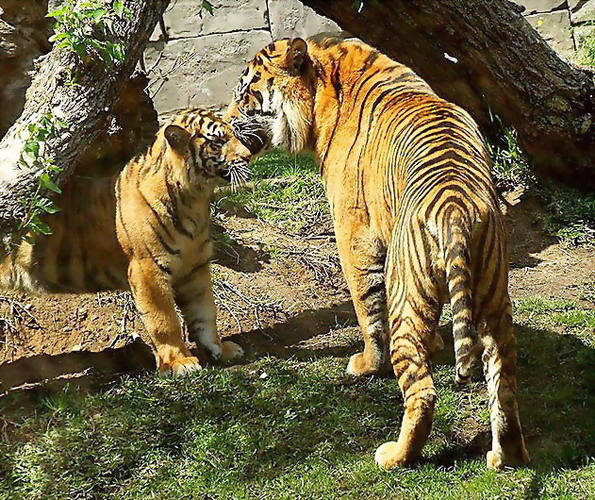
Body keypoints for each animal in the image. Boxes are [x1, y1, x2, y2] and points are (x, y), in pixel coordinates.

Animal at [0, 109, 251, 376]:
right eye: (218, 142)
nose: (248, 156)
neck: (195, 200)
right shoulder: (148, 268)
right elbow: (164, 319)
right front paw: (179, 362)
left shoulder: (195, 268)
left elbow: (205, 313)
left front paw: (220, 349)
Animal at [228, 38, 532, 468]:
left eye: (245, 95)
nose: (224, 125)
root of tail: (454, 208)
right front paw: (435, 344)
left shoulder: (354, 235)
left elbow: (367, 309)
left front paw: (368, 364)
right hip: (493, 296)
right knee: (503, 382)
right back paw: (506, 455)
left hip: (408, 290)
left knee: (422, 390)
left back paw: (395, 455)